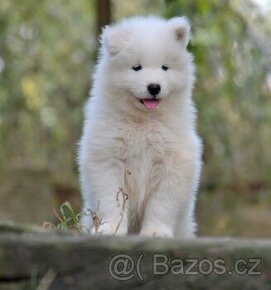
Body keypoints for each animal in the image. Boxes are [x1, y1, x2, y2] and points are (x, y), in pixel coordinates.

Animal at [78, 15, 202, 238]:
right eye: (137, 67)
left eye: (164, 67)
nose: (154, 87)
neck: (143, 121)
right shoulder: (107, 158)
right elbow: (111, 199)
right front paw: (111, 228)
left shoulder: (173, 162)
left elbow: (162, 204)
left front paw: (155, 232)